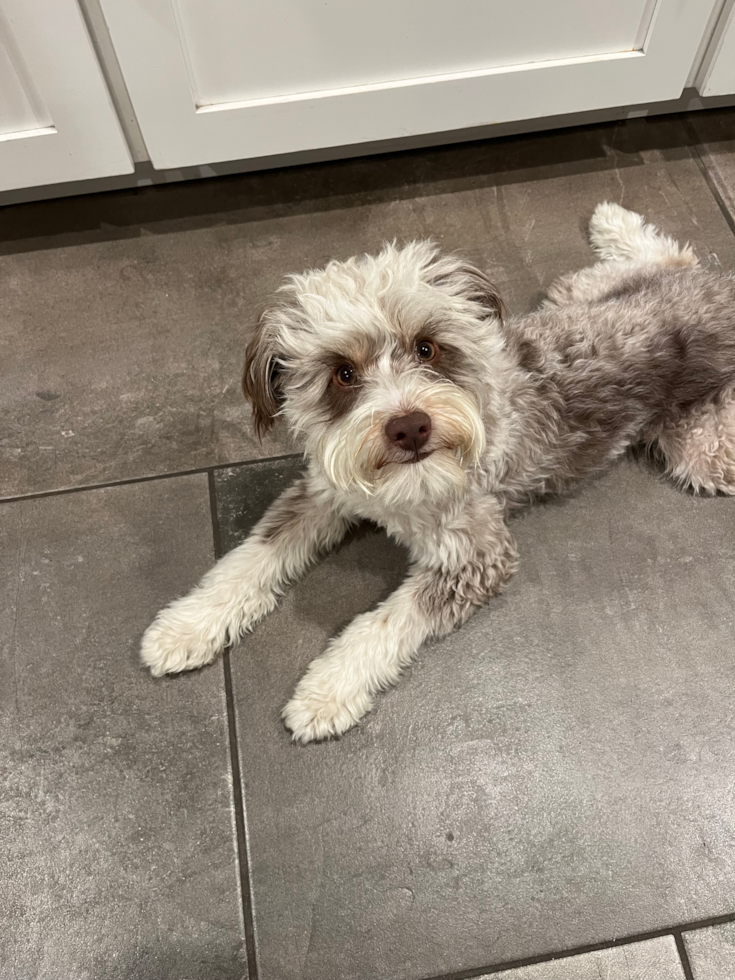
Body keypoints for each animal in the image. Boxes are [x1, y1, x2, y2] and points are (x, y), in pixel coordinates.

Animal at [142, 205, 735, 744]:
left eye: (426, 347)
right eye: (343, 372)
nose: (410, 426)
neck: (392, 489)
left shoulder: (474, 552)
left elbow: (385, 622)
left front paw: (327, 691)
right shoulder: (323, 493)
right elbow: (251, 558)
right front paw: (185, 626)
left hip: (704, 452)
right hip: (577, 291)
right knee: (667, 254)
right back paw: (612, 220)